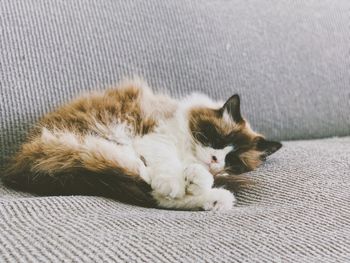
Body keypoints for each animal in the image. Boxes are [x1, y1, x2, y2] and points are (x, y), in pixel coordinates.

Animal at [2, 79, 282, 211]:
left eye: (233, 160)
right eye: (217, 140)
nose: (215, 160)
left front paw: (194, 180)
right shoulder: (155, 139)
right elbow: (168, 168)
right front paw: (181, 181)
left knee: (151, 192)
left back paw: (216, 199)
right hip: (98, 145)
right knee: (140, 178)